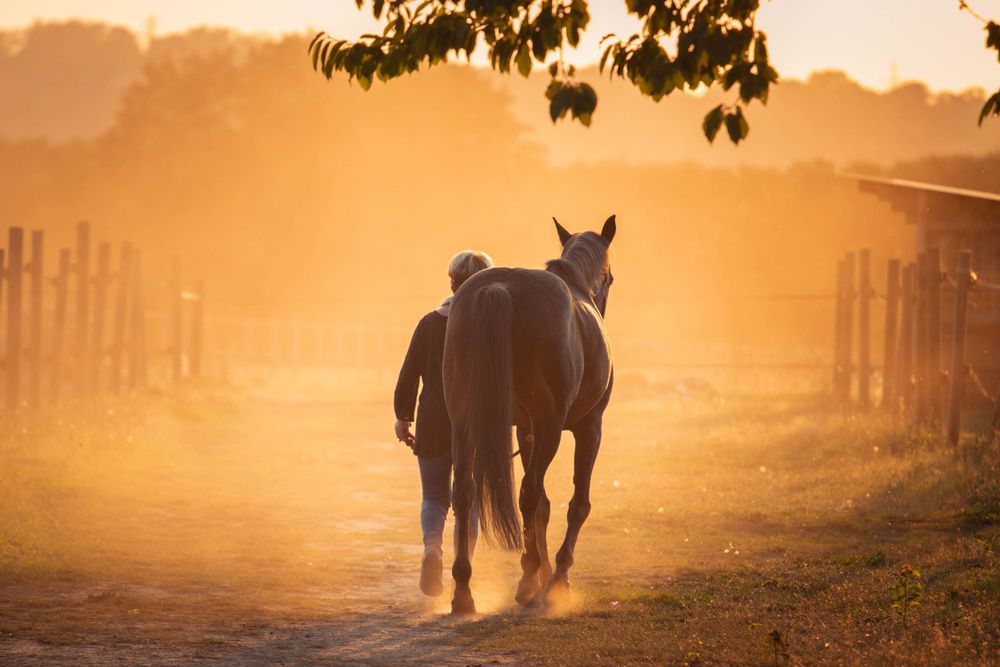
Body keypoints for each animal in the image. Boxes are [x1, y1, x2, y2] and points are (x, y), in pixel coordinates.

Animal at [442, 215, 616, 614]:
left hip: (464, 422)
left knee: (465, 491)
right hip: (551, 428)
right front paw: (557, 579)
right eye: (611, 278)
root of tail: (499, 288)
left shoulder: (525, 430)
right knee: (529, 492)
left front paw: (544, 572)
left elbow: (544, 509)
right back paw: (526, 581)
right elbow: (576, 504)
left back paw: (464, 590)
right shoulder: (589, 428)